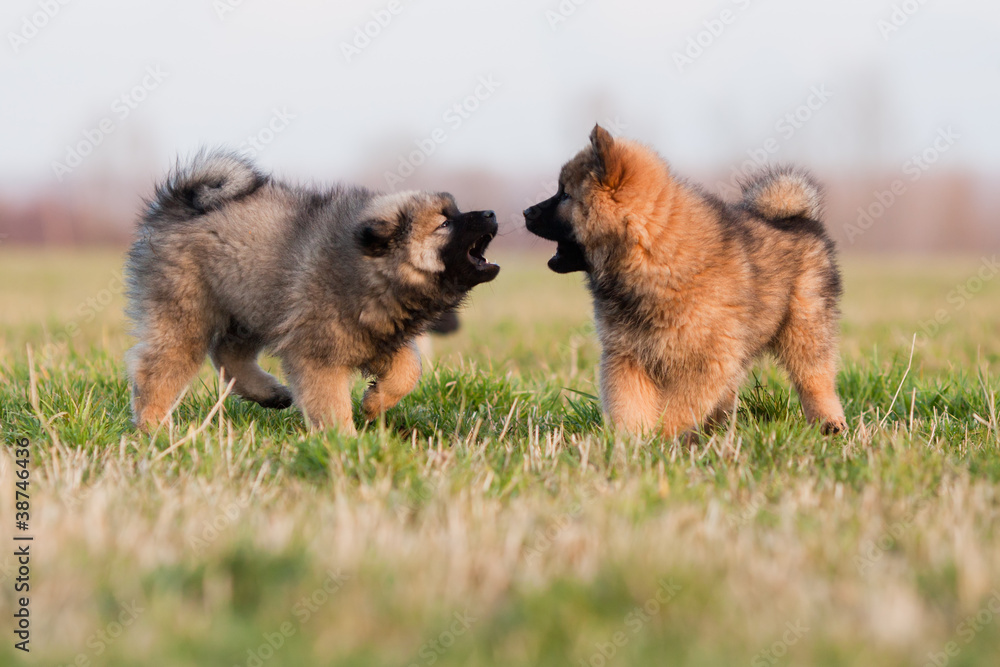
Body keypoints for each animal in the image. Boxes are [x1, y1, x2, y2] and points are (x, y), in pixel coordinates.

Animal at [125, 151, 500, 434]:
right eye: (444, 223)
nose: (491, 213)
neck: (371, 268)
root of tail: (179, 203)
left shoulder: (376, 335)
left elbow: (409, 371)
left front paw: (374, 403)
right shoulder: (318, 353)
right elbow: (331, 401)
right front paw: (345, 443)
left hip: (254, 303)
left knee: (227, 353)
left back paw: (270, 394)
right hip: (187, 312)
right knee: (159, 369)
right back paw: (156, 428)